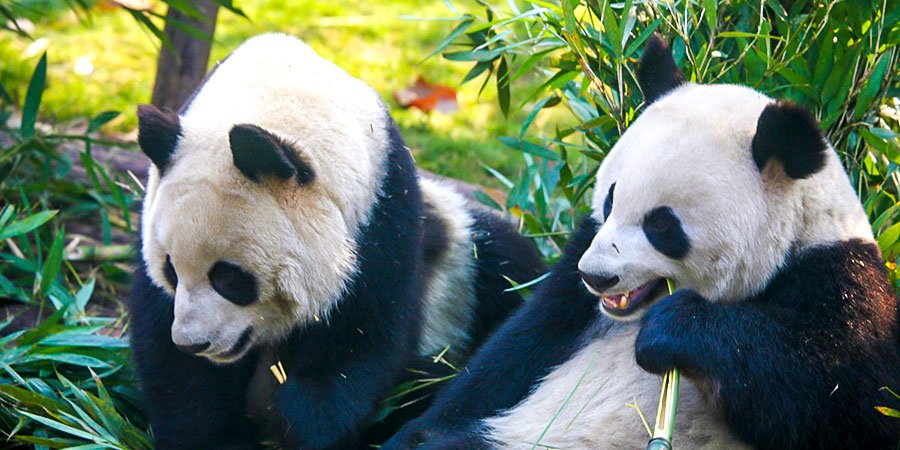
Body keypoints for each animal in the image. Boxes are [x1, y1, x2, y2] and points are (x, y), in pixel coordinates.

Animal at [127, 33, 545, 450]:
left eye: (229, 278)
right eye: (170, 269)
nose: (192, 342)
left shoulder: (381, 223)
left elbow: (356, 346)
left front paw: (301, 426)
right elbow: (176, 370)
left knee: (504, 264)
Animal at [383, 35, 900, 450]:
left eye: (662, 226)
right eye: (611, 198)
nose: (595, 276)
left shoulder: (835, 275)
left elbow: (848, 400)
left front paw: (674, 331)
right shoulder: (570, 288)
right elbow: (510, 355)